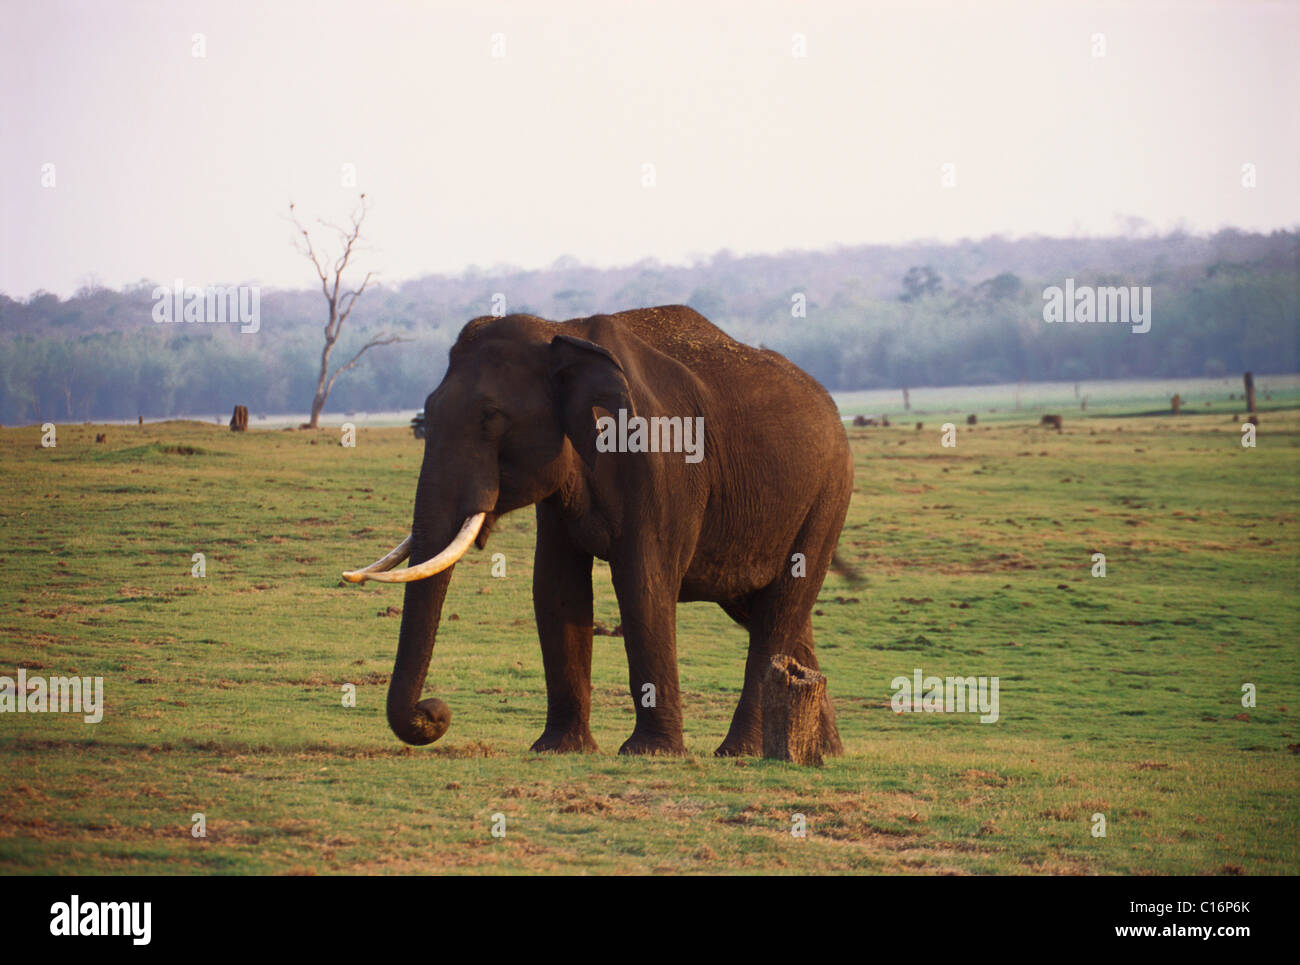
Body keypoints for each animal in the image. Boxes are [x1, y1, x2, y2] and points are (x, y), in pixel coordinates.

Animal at [343, 305, 852, 759]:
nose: (435, 711)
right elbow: (556, 588)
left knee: (781, 608)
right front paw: (557, 749)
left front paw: (649, 753)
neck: (561, 330)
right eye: (426, 413)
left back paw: (740, 752)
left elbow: (643, 583)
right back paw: (818, 752)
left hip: (828, 497)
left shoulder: (661, 463)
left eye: (491, 415)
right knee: (773, 613)